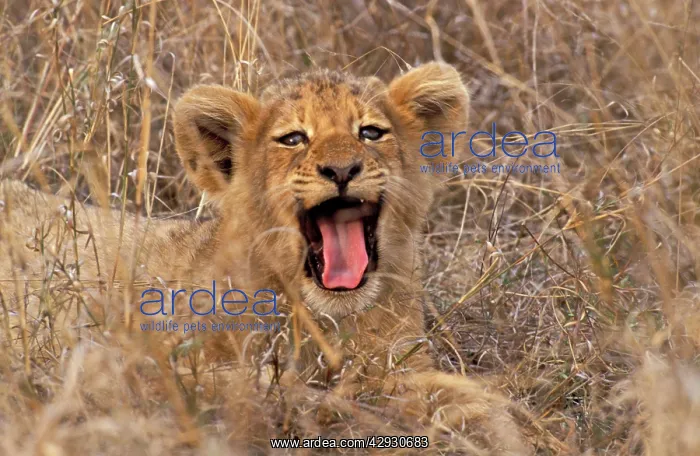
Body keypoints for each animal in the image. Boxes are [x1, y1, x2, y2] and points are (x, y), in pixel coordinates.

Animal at [0, 62, 533, 453]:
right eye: (294, 138)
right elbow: (279, 388)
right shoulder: (154, 367)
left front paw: (509, 430)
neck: (329, 319)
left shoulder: (401, 359)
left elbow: (472, 398)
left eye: (370, 132)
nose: (342, 169)